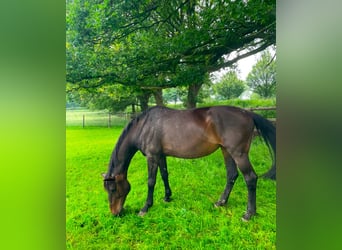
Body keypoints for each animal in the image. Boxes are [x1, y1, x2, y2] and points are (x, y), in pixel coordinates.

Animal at [101, 105, 276, 221]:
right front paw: (167, 197)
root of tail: (247, 113)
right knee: (232, 175)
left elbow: (151, 181)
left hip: (238, 153)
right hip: (226, 151)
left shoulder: (152, 156)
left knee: (250, 178)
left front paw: (145, 208)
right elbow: (164, 175)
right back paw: (221, 202)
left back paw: (249, 214)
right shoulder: (161, 155)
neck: (145, 126)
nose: (115, 213)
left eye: (113, 189)